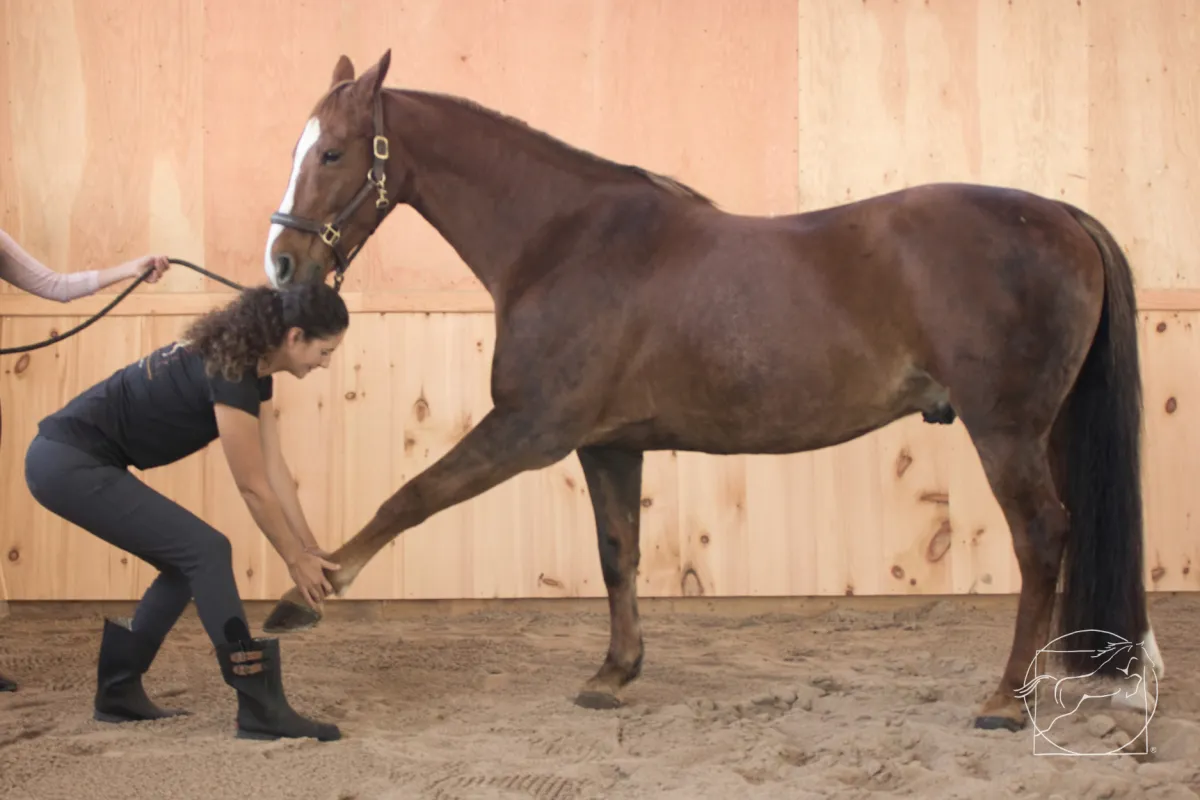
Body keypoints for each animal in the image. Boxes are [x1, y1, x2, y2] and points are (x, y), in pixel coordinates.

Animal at [259, 49, 1165, 732]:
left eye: (332, 152)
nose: (282, 263)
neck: (565, 240)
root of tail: (1060, 215)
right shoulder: (608, 443)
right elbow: (617, 553)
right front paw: (614, 673)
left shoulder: (528, 429)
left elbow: (409, 497)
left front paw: (308, 594)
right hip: (1045, 430)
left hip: (1005, 431)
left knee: (1041, 537)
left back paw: (1006, 700)